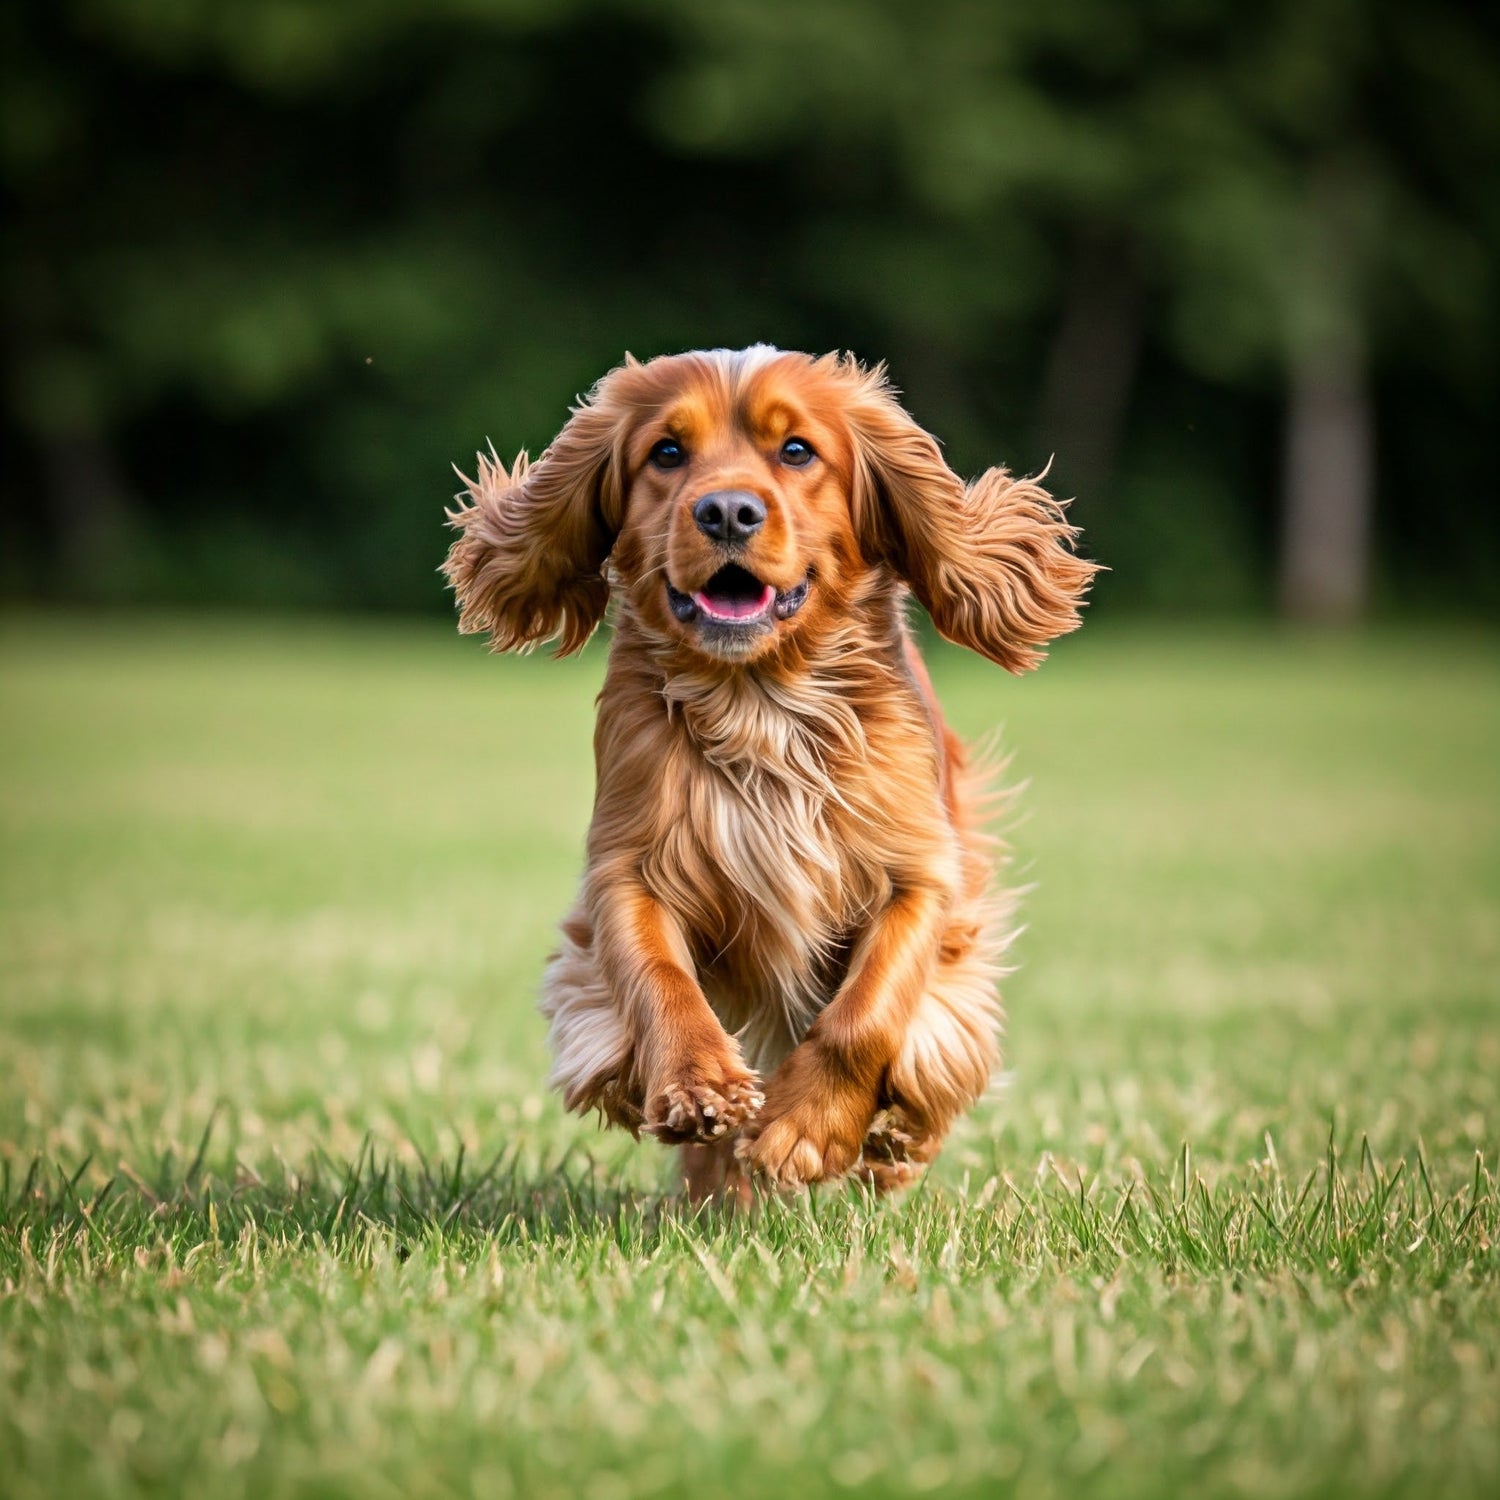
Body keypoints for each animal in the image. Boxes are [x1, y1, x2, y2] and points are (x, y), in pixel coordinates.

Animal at [438, 345, 1098, 1200]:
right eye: (667, 452)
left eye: (797, 451)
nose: (727, 512)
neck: (760, 701)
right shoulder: (630, 865)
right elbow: (657, 973)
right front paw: (699, 1085)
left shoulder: (919, 872)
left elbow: (869, 1008)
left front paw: (803, 1131)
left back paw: (887, 1140)